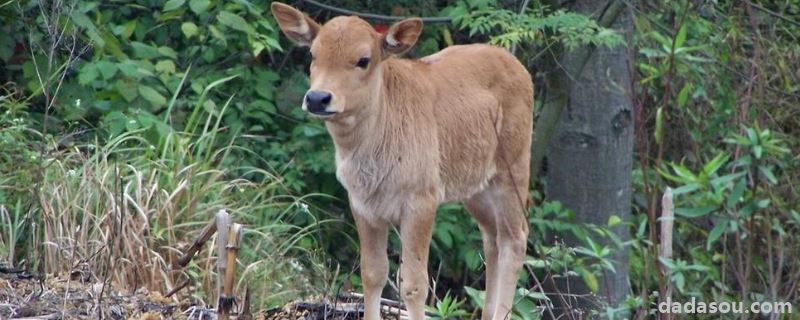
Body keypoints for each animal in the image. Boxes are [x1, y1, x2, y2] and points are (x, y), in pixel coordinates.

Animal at [272, 3, 536, 320]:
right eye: (313, 54)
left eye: (363, 60)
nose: (318, 98)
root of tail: (520, 68)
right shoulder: (362, 205)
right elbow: (373, 274)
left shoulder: (422, 201)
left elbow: (413, 283)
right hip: (476, 188)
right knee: (492, 240)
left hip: (513, 170)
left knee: (515, 239)